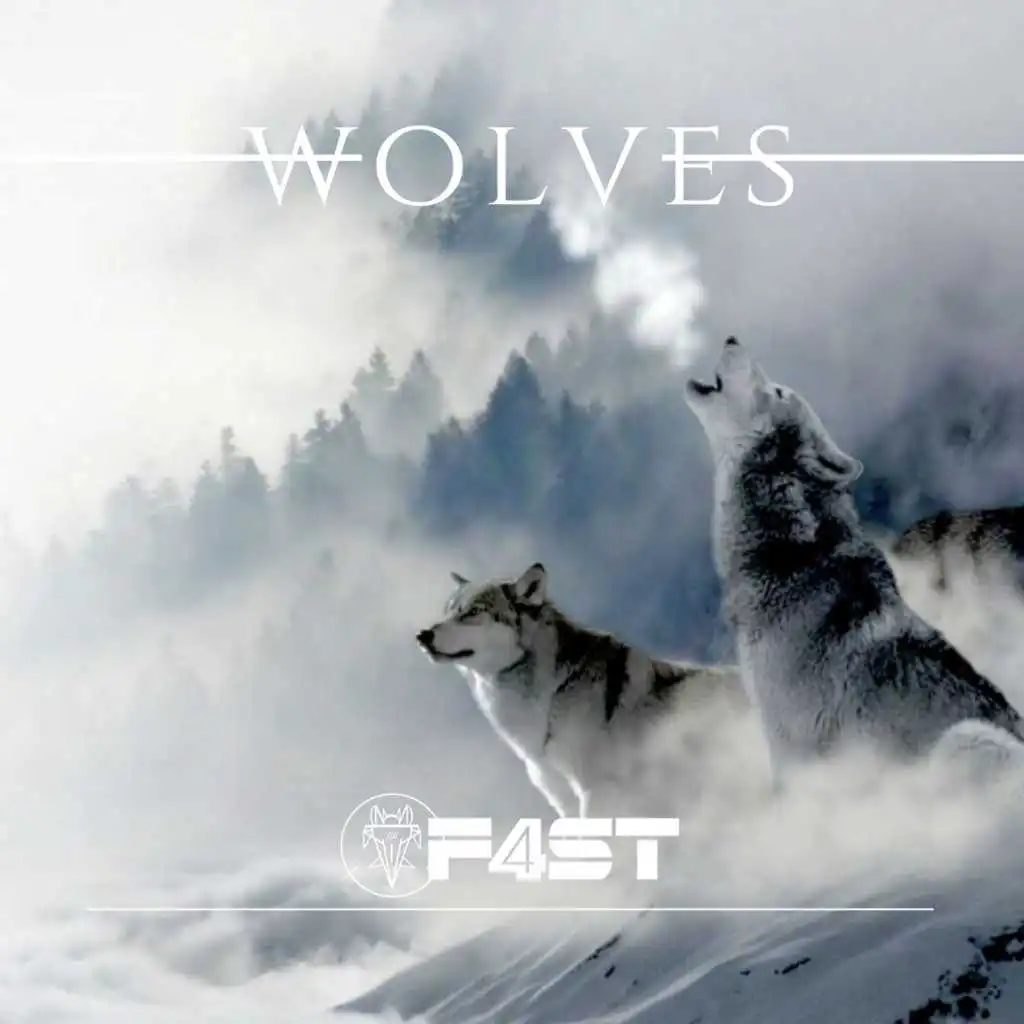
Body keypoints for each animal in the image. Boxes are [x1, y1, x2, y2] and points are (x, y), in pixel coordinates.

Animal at [415, 562, 747, 818]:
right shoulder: (565, 800)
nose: (423, 635)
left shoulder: (595, 791)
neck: (552, 692)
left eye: (473, 612)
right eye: (447, 612)